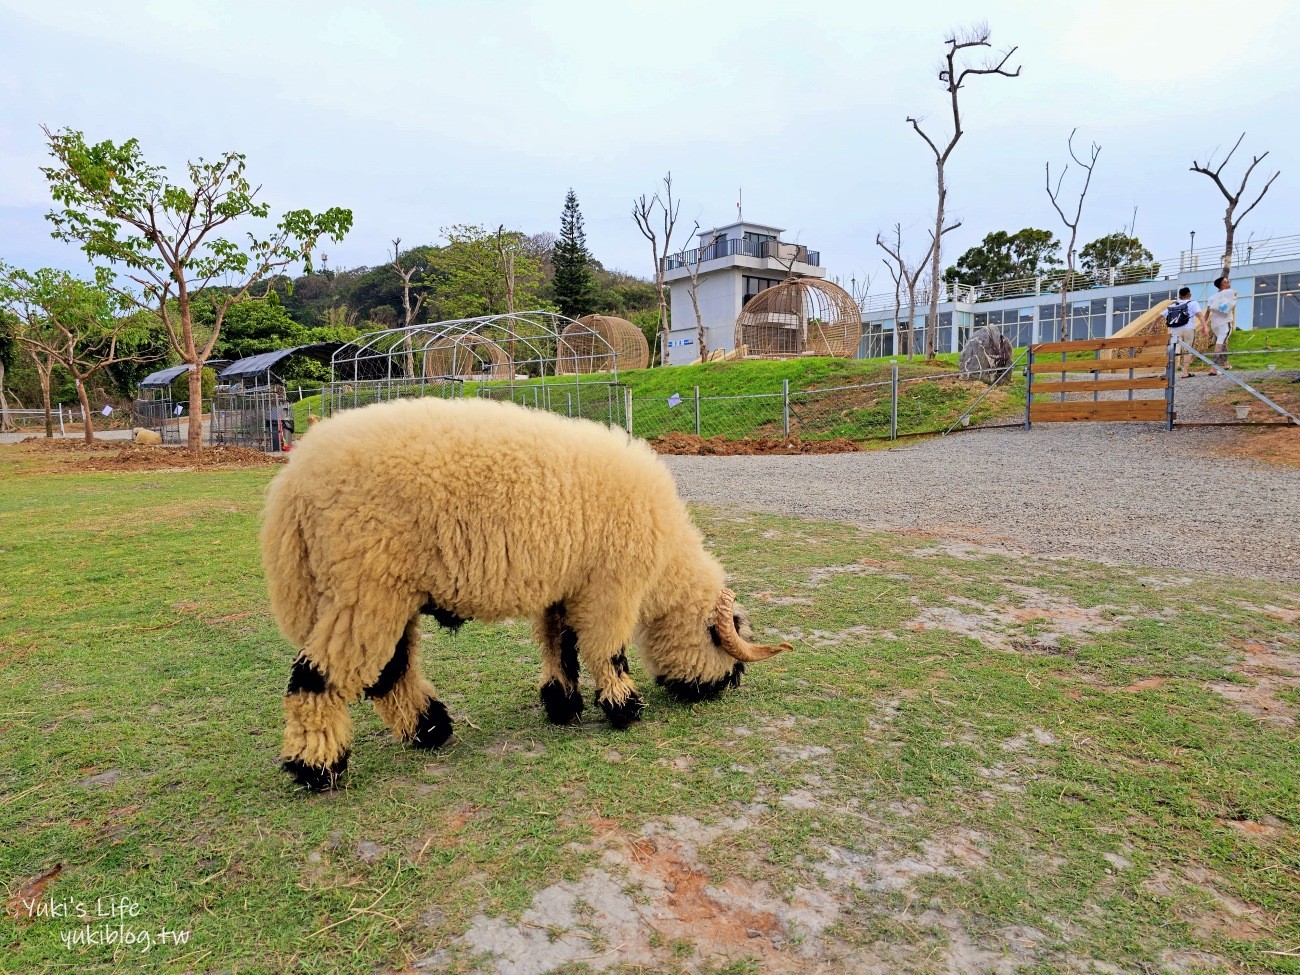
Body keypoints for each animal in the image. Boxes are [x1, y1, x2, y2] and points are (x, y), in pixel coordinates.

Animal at [261, 397, 790, 795]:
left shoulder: (566, 587)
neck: (666, 565)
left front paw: (562, 705)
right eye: (727, 645)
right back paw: (316, 767)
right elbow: (606, 650)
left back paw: (430, 730)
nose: (726, 687)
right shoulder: (611, 587)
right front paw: (624, 708)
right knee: (317, 676)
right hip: (363, 587)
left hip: (383, 593)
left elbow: (561, 645)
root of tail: (293, 484)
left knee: (393, 671)